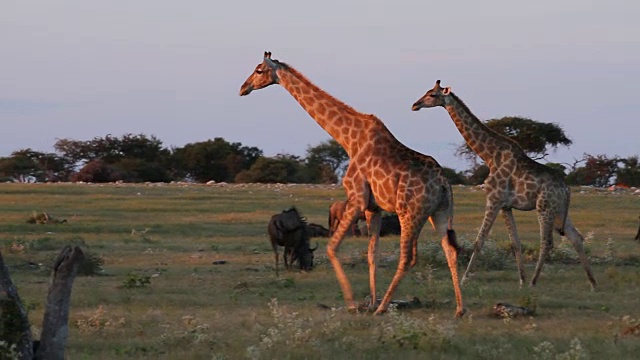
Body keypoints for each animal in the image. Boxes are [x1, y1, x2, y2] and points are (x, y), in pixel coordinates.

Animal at [240, 52, 464, 316]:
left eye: (259, 70)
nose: (243, 88)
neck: (349, 139)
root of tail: (444, 184)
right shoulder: (372, 207)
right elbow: (372, 254)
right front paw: (370, 301)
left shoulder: (357, 199)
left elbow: (331, 248)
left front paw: (352, 301)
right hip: (438, 212)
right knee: (450, 250)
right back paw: (459, 309)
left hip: (411, 213)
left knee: (409, 257)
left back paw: (384, 308)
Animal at [412, 79, 596, 290]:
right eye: (427, 91)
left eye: (432, 95)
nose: (415, 105)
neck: (490, 155)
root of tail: (566, 189)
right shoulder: (505, 206)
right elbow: (515, 243)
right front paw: (521, 280)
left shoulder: (493, 199)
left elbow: (479, 240)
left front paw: (465, 279)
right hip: (559, 210)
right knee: (576, 237)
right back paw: (592, 283)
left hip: (544, 207)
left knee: (547, 242)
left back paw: (534, 282)